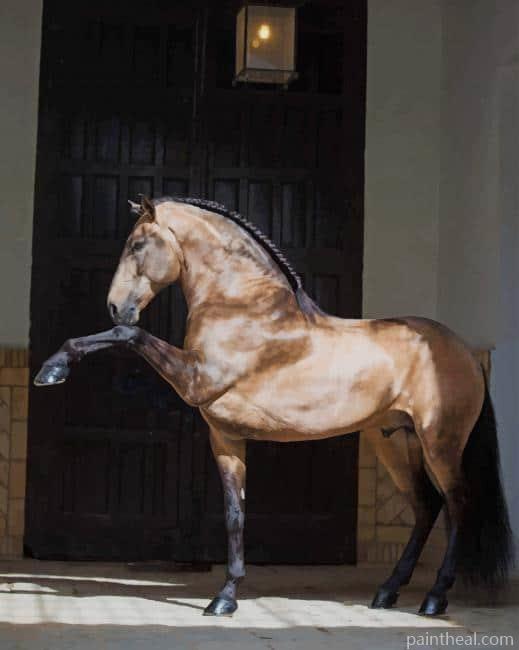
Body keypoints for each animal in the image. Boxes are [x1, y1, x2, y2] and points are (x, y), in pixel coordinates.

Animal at [35, 195, 514, 617]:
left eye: (137, 244)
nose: (116, 306)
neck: (242, 305)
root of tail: (466, 352)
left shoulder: (195, 379)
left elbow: (128, 336)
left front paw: (52, 369)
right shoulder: (225, 436)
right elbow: (235, 514)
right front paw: (225, 597)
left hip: (440, 445)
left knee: (457, 504)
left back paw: (434, 598)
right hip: (395, 442)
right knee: (427, 507)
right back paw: (387, 592)